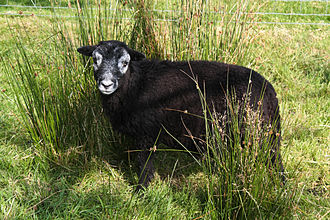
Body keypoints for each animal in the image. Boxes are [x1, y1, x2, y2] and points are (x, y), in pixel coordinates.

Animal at [76, 40, 284, 189]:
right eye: (95, 60)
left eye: (125, 63)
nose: (106, 84)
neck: (136, 85)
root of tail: (269, 90)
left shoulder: (147, 132)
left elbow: (144, 165)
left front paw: (141, 191)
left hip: (259, 132)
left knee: (274, 161)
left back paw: (279, 189)